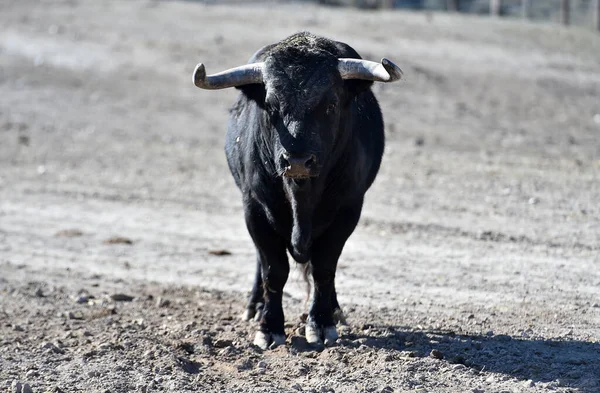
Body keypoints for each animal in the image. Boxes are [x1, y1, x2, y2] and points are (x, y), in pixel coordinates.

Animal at [193, 32, 404, 348]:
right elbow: (273, 270)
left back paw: (335, 309)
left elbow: (324, 268)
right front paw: (269, 327)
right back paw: (254, 307)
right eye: (271, 106)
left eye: (331, 105)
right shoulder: (254, 209)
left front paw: (322, 323)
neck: (302, 194)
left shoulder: (348, 210)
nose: (297, 160)